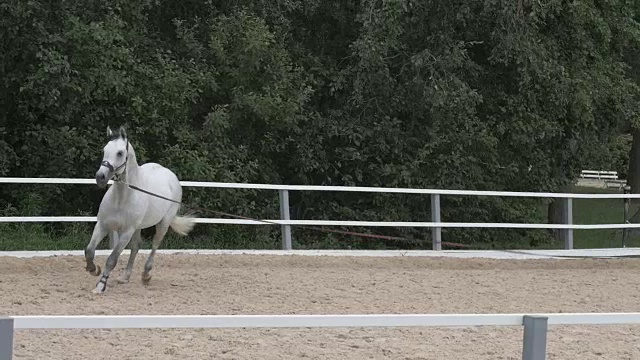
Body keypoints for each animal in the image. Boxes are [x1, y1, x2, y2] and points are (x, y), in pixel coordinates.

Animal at [85, 125, 195, 294]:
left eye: (120, 153)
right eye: (104, 150)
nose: (100, 177)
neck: (121, 199)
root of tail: (171, 176)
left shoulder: (126, 232)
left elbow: (112, 259)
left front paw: (100, 285)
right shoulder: (102, 225)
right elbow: (89, 250)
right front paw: (93, 269)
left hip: (162, 224)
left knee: (155, 245)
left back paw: (146, 275)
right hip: (138, 227)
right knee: (136, 246)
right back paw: (125, 277)